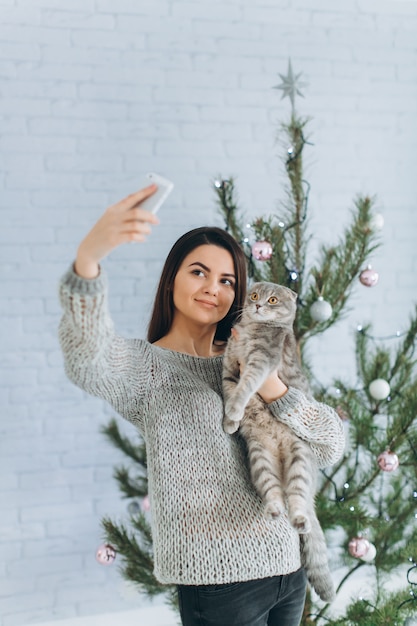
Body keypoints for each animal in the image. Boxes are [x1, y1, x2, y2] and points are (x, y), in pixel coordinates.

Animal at [223, 282, 334, 600]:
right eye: (254, 296)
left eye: (272, 299)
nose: (258, 305)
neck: (250, 328)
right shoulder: (229, 367)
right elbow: (231, 389)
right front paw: (232, 420)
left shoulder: (260, 362)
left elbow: (244, 389)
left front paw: (233, 412)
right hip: (260, 461)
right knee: (272, 492)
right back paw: (273, 508)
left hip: (299, 461)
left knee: (296, 500)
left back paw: (298, 518)